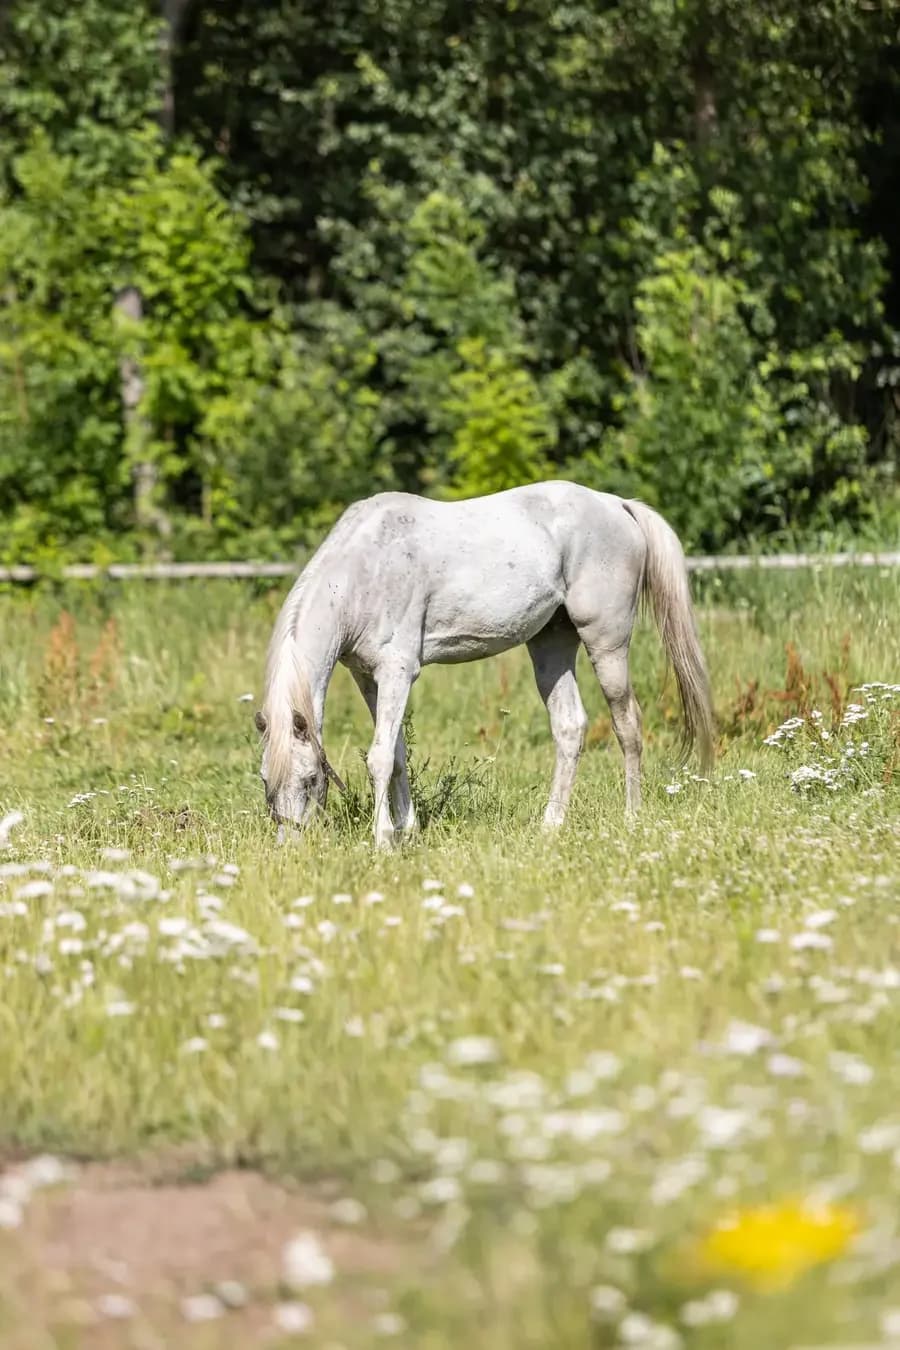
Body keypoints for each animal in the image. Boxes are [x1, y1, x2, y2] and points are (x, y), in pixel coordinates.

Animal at [255, 481, 714, 847]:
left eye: (310, 780)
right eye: (265, 782)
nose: (290, 847)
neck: (363, 572)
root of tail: (617, 504)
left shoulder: (398, 672)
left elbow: (380, 757)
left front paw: (384, 840)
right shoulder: (369, 677)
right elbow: (398, 753)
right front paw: (409, 831)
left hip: (607, 642)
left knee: (628, 723)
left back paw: (632, 817)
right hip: (551, 645)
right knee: (569, 727)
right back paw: (550, 825)